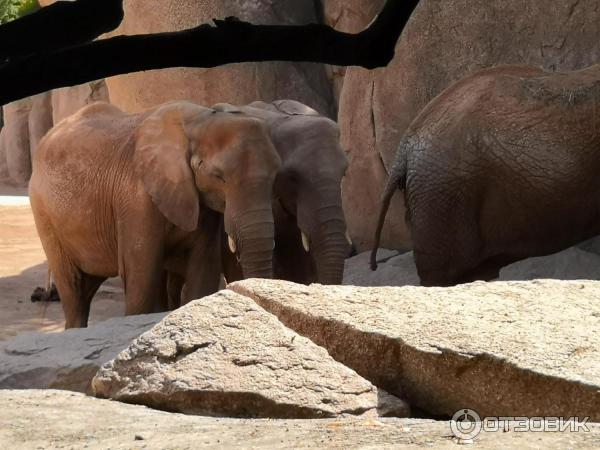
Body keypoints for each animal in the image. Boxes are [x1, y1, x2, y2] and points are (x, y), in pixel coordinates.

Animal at [32, 101, 284, 326]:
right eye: (218, 176)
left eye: (275, 174)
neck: (200, 120)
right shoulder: (136, 197)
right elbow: (141, 277)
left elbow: (203, 272)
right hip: (44, 216)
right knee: (73, 290)